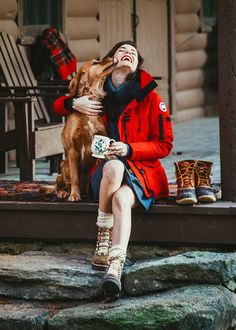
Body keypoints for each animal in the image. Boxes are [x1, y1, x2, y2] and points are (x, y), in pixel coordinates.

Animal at [55, 56, 118, 201]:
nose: (111, 57)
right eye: (95, 63)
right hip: (63, 165)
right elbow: (75, 177)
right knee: (60, 184)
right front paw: (74, 194)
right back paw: (64, 192)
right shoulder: (72, 149)